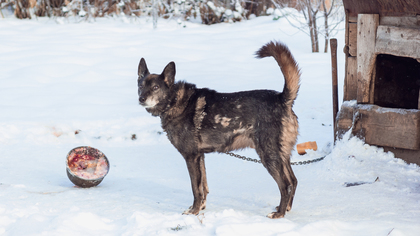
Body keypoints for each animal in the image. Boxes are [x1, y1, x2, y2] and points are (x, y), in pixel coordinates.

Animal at [139, 41, 300, 219]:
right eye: (140, 86)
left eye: (155, 87)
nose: (141, 98)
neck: (174, 101)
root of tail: (282, 99)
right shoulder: (200, 156)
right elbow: (204, 187)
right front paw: (200, 207)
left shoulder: (191, 157)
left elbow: (196, 188)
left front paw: (193, 211)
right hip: (281, 156)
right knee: (293, 181)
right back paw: (286, 208)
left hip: (269, 156)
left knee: (285, 185)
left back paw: (279, 213)